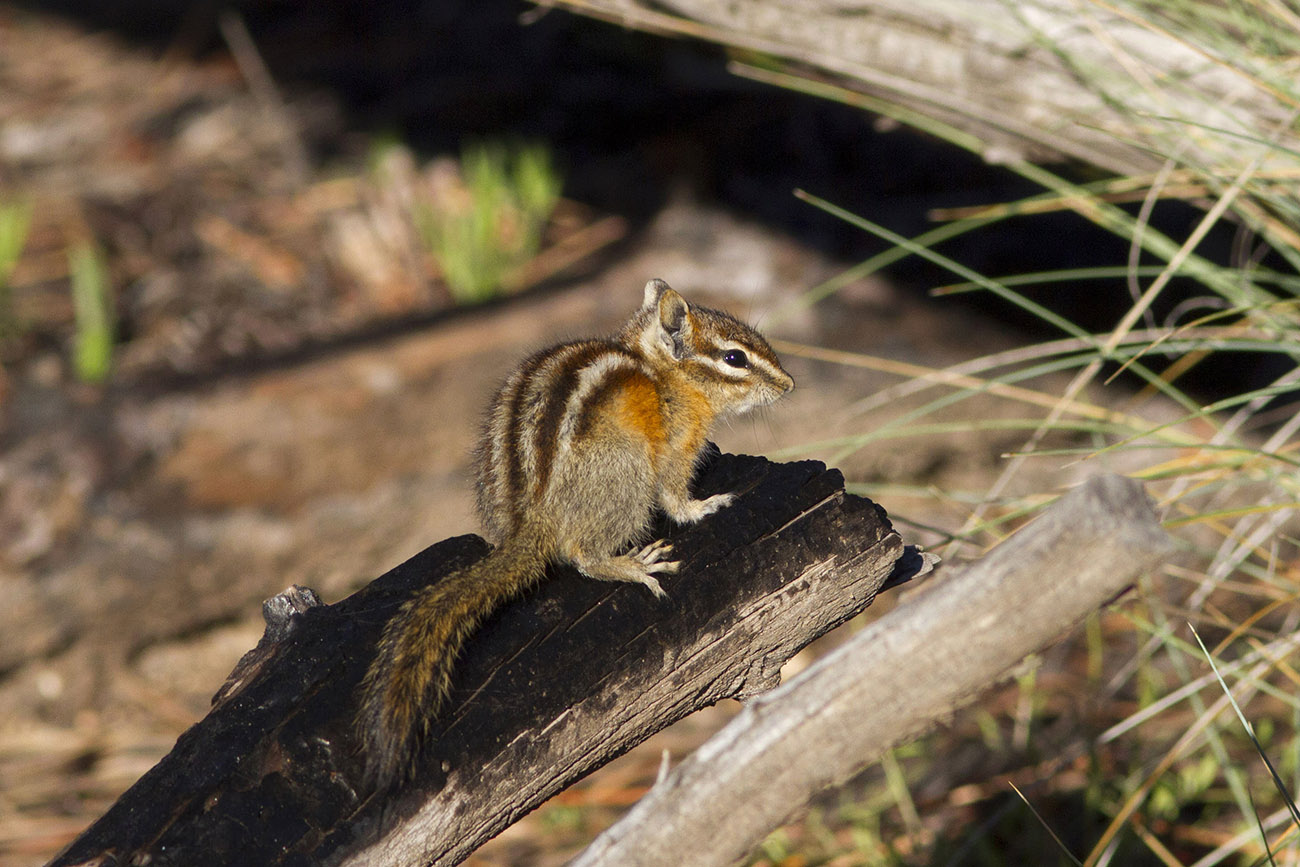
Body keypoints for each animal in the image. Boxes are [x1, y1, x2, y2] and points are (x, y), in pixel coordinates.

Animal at [356, 278, 794, 786]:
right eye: (734, 358)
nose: (789, 384)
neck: (659, 371)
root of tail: (531, 525)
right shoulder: (675, 446)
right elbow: (674, 497)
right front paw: (703, 506)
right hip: (629, 474)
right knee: (584, 557)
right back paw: (634, 566)